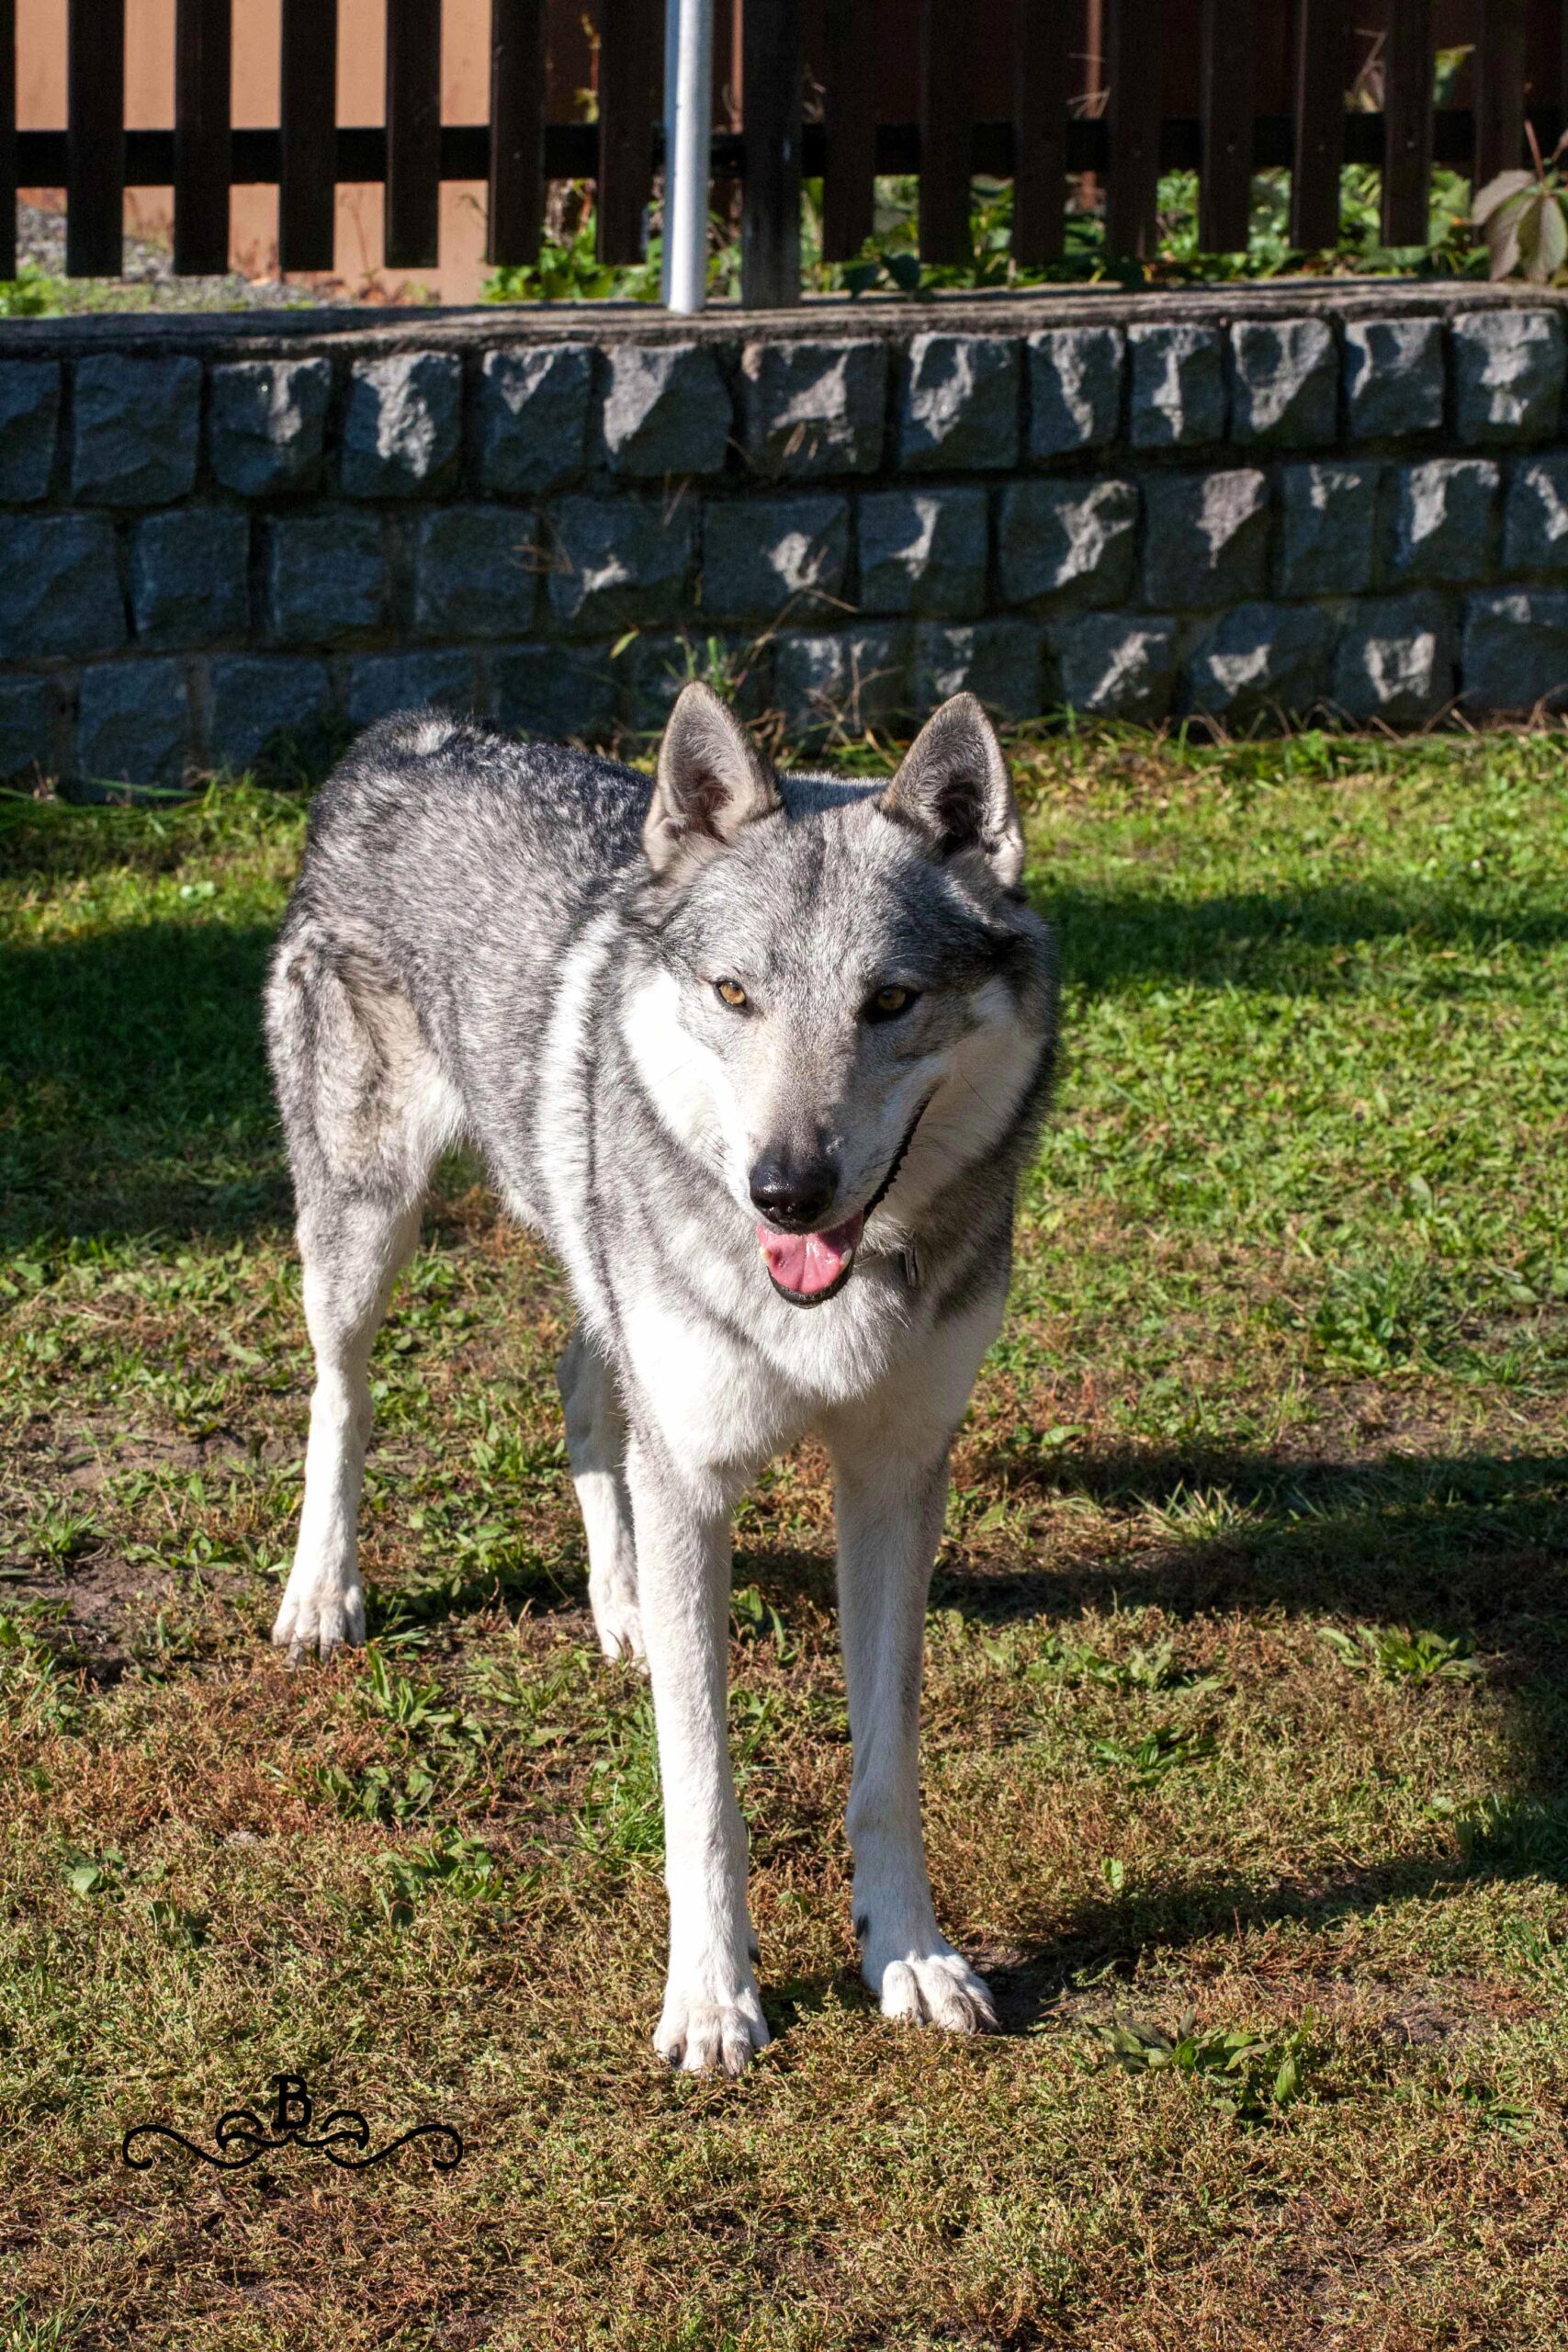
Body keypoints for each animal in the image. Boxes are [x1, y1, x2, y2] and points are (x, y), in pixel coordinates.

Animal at [265, 683, 1057, 2073]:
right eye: (733, 993)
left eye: (891, 1000)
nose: (783, 1190)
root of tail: (409, 731)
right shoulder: (697, 1478)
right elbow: (702, 1791)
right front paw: (710, 1999)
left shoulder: (893, 1476)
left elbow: (885, 1766)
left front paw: (907, 1956)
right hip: (366, 1235)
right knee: (340, 1397)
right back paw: (323, 1595)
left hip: (600, 1277)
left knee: (580, 1391)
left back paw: (623, 1606)